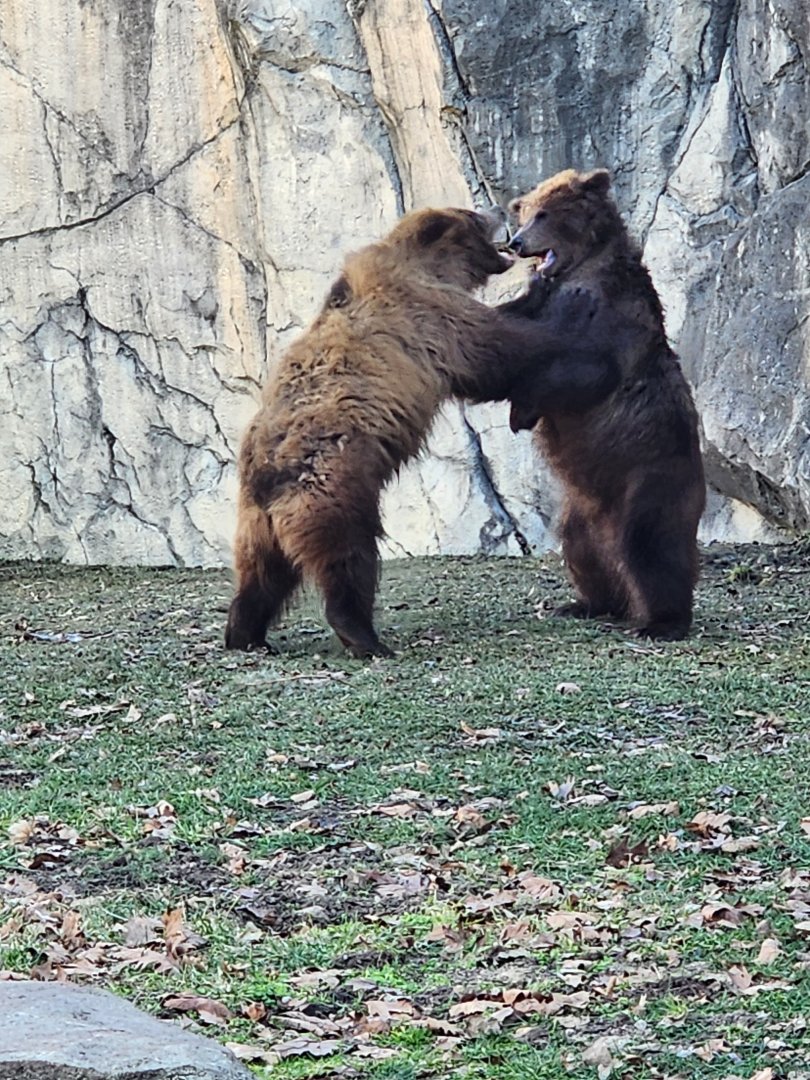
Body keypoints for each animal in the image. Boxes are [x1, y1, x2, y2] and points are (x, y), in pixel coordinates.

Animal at [225, 205, 611, 658]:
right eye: (475, 216)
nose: (500, 209)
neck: (430, 267)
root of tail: (266, 473)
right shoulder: (430, 317)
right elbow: (499, 351)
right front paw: (560, 312)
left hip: (257, 521)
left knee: (263, 575)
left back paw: (245, 633)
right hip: (332, 486)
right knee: (348, 557)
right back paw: (365, 637)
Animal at [504, 168, 706, 640]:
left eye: (544, 213)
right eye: (524, 211)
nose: (515, 241)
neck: (581, 268)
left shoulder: (612, 317)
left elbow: (583, 372)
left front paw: (521, 407)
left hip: (652, 476)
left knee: (651, 544)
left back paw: (661, 621)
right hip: (582, 507)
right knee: (582, 549)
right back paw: (587, 603)